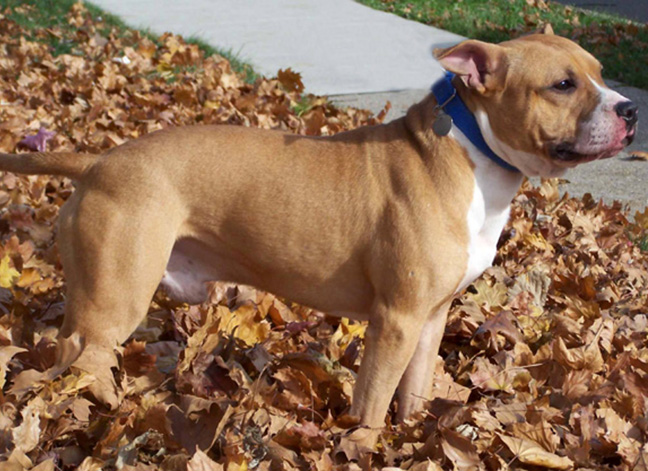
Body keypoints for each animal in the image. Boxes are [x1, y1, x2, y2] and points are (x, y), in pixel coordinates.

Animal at [0, 30, 636, 446]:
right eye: (562, 85)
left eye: (601, 73)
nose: (630, 109)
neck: (472, 151)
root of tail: (98, 163)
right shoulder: (396, 320)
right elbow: (374, 402)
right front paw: (364, 448)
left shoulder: (431, 318)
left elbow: (414, 392)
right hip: (116, 296)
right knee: (83, 358)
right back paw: (112, 413)